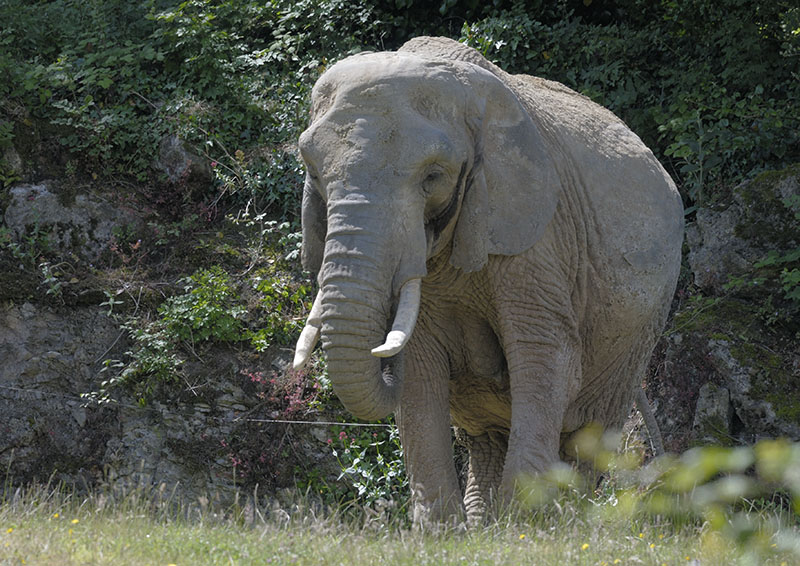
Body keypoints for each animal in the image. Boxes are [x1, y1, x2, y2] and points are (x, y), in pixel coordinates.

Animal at [292, 36, 683, 524]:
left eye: (433, 176)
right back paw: (485, 525)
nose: (382, 352)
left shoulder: (540, 237)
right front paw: (442, 534)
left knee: (586, 436)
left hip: (640, 328)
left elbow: (545, 357)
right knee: (486, 438)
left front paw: (524, 528)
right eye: (313, 171)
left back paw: (561, 525)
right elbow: (420, 367)